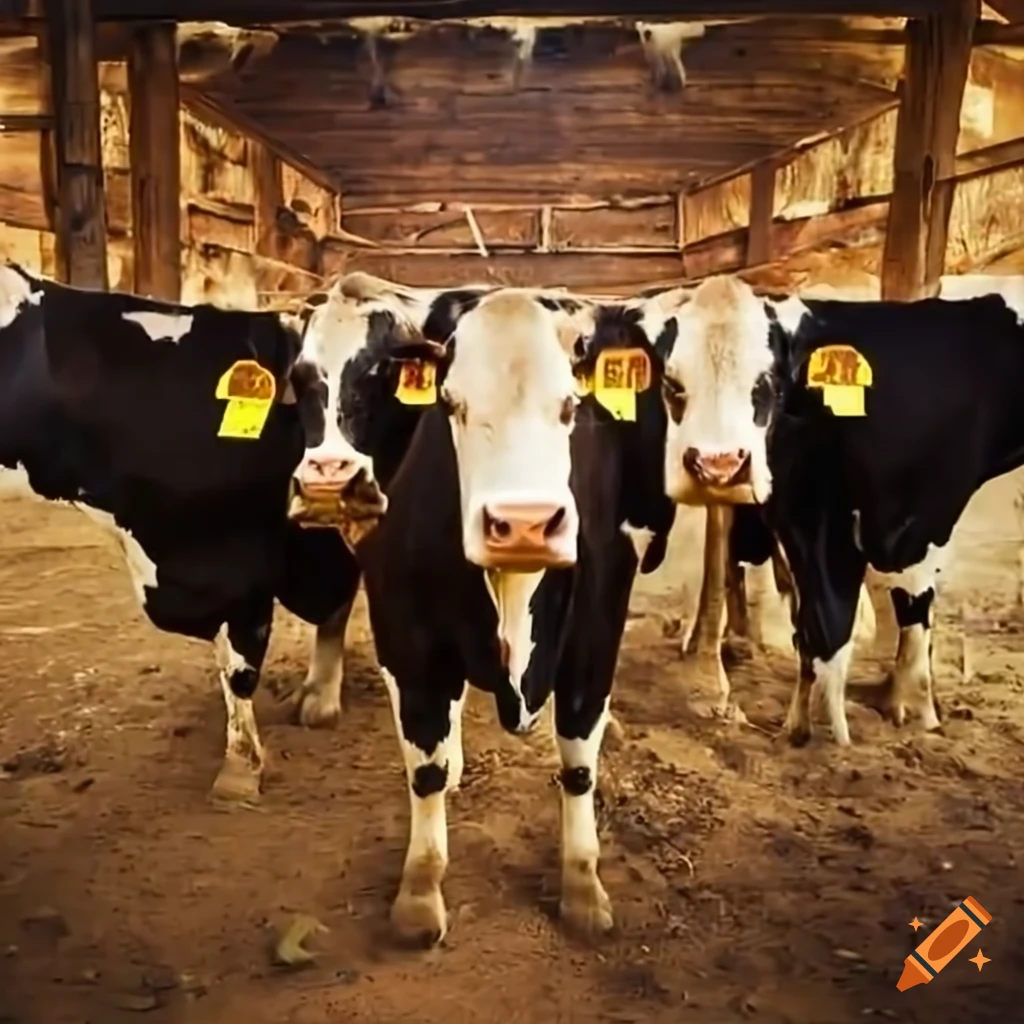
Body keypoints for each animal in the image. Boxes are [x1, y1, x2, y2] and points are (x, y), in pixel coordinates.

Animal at [288, 272, 675, 945]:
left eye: (570, 407)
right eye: (450, 403)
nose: (522, 523)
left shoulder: (596, 632)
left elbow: (579, 764)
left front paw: (583, 886)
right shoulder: (406, 635)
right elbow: (425, 765)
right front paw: (420, 892)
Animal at [643, 272, 1024, 746]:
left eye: (767, 382)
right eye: (672, 385)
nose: (718, 465)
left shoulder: (920, 513)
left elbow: (900, 611)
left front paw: (910, 711)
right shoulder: (806, 518)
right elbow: (822, 623)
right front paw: (813, 728)